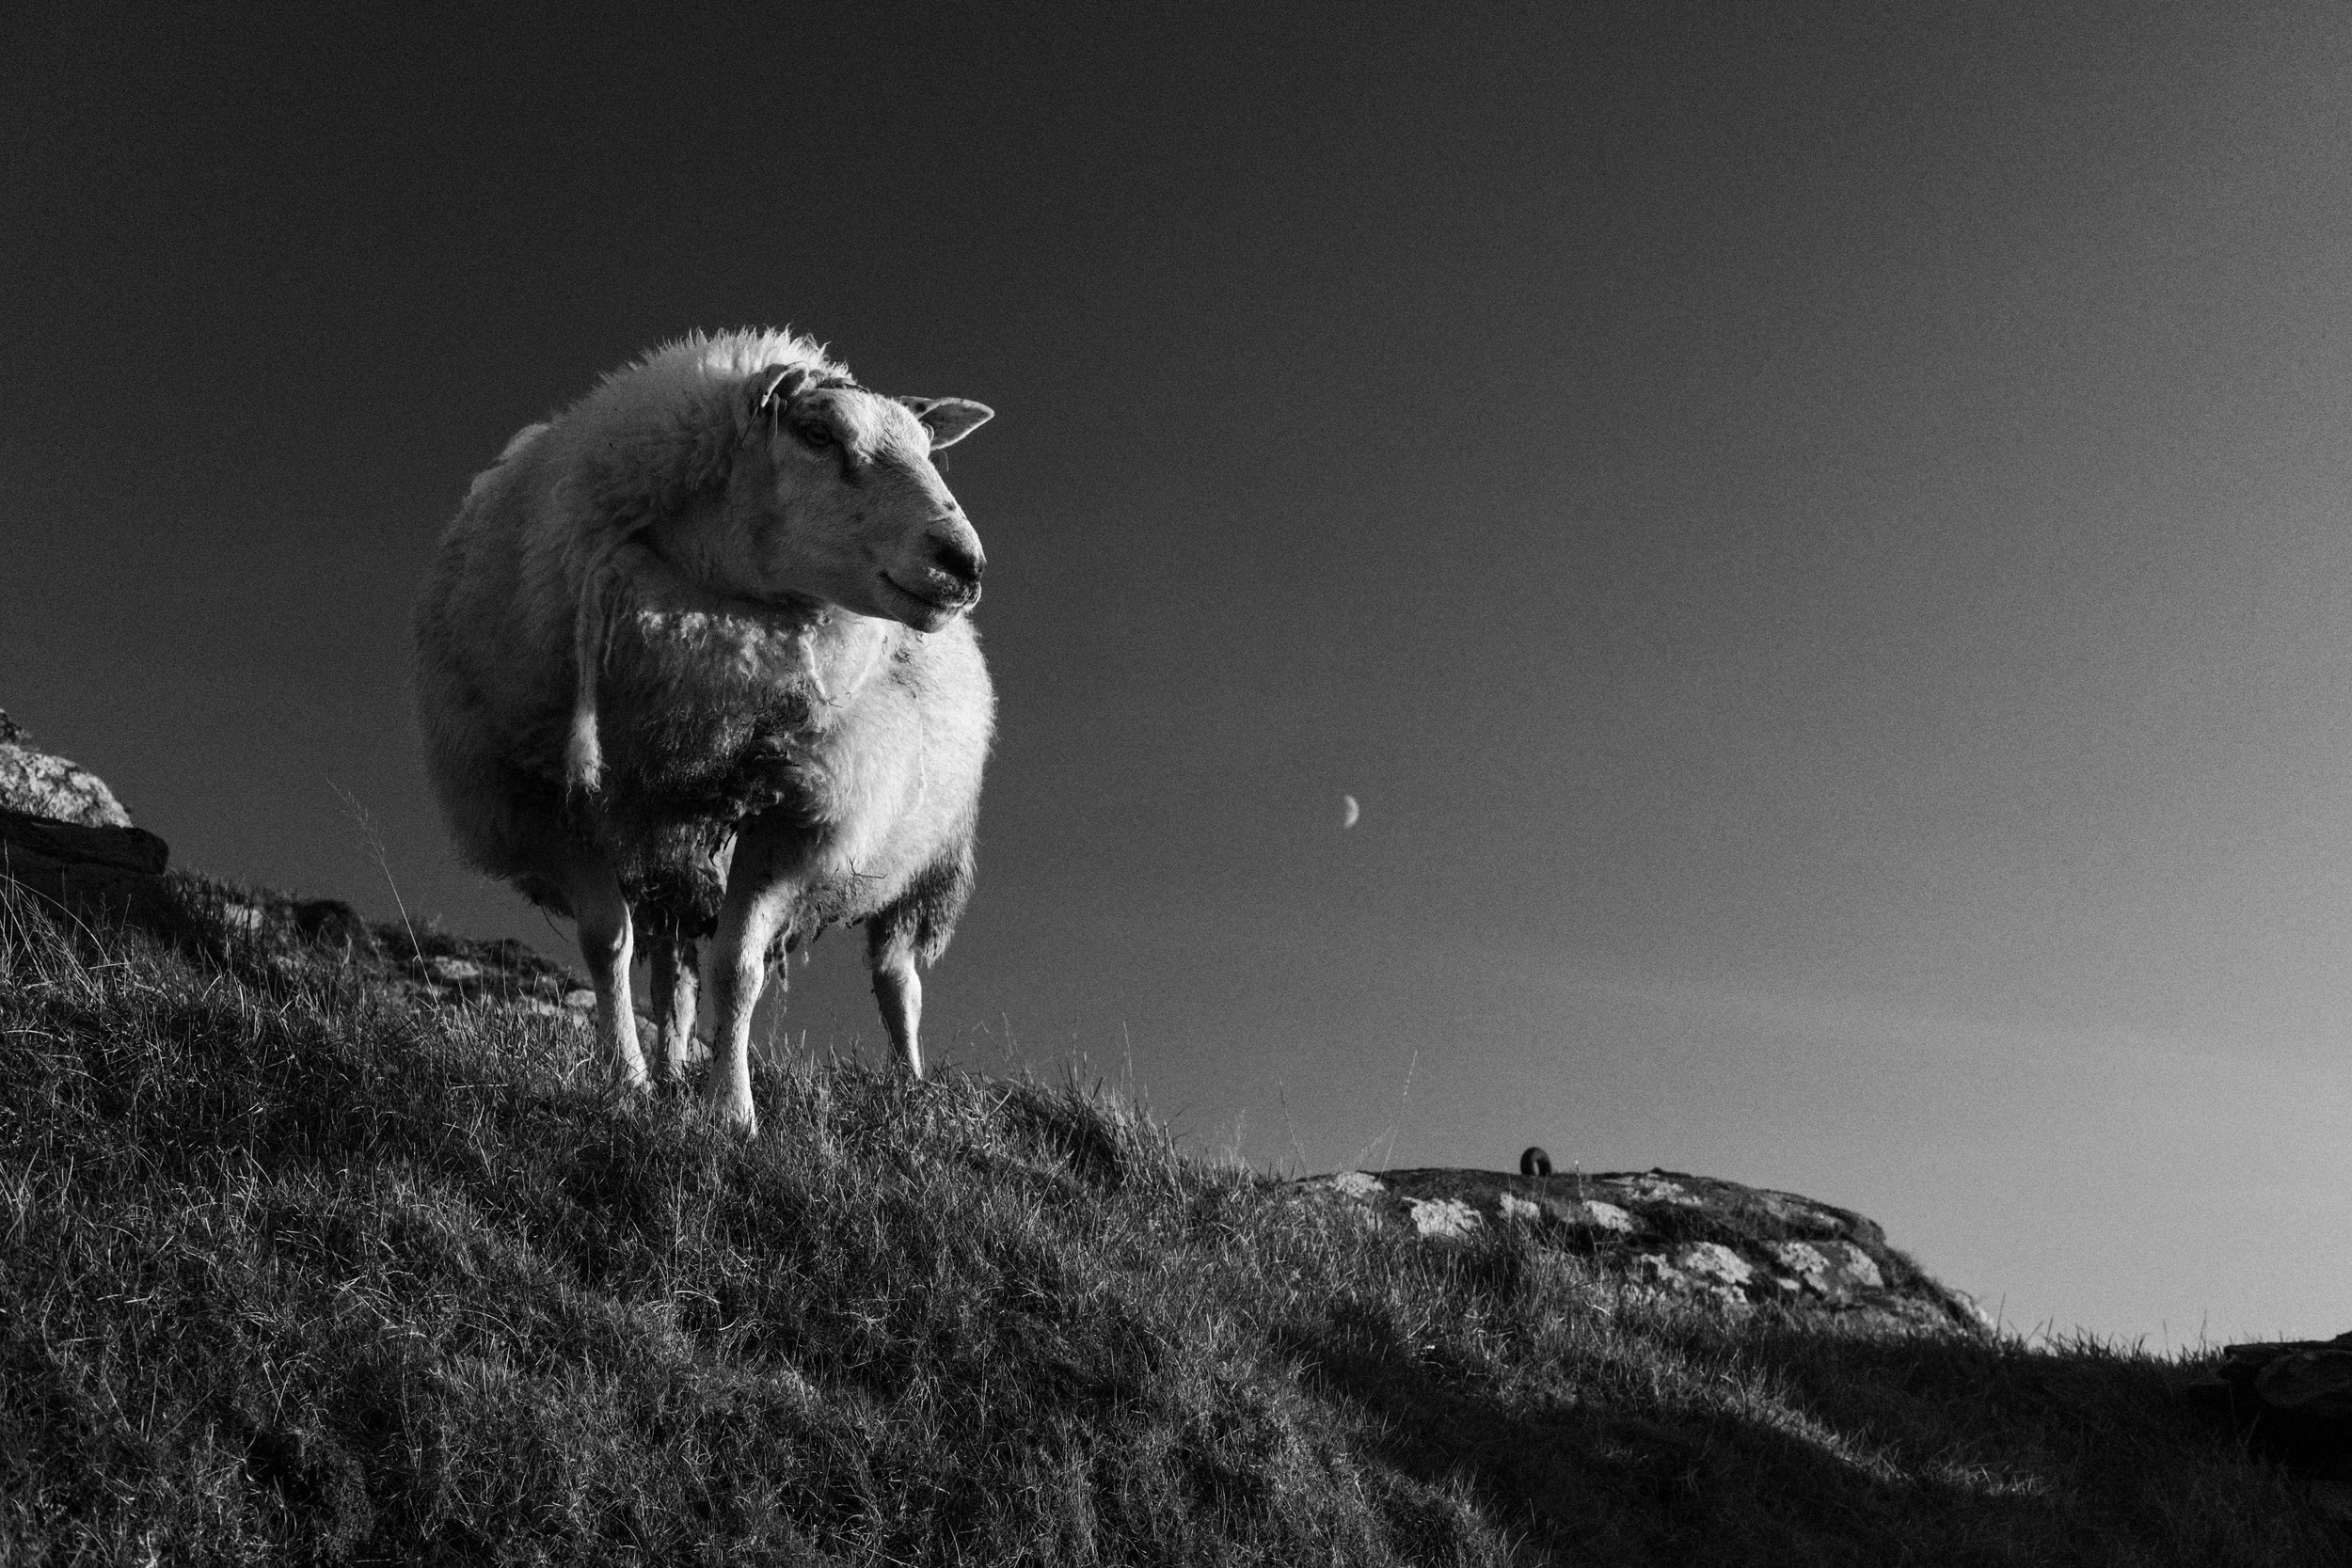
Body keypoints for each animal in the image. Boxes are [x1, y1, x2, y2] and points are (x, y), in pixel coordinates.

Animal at [411, 328, 995, 1132]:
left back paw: (907, 1085)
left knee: (896, 976)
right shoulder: (547, 801)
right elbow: (608, 940)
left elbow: (738, 967)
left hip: (930, 853)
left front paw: (730, 1111)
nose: (963, 562)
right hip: (673, 852)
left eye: (926, 449)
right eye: (818, 434)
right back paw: (670, 1064)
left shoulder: (799, 811)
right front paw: (625, 1078)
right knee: (671, 974)